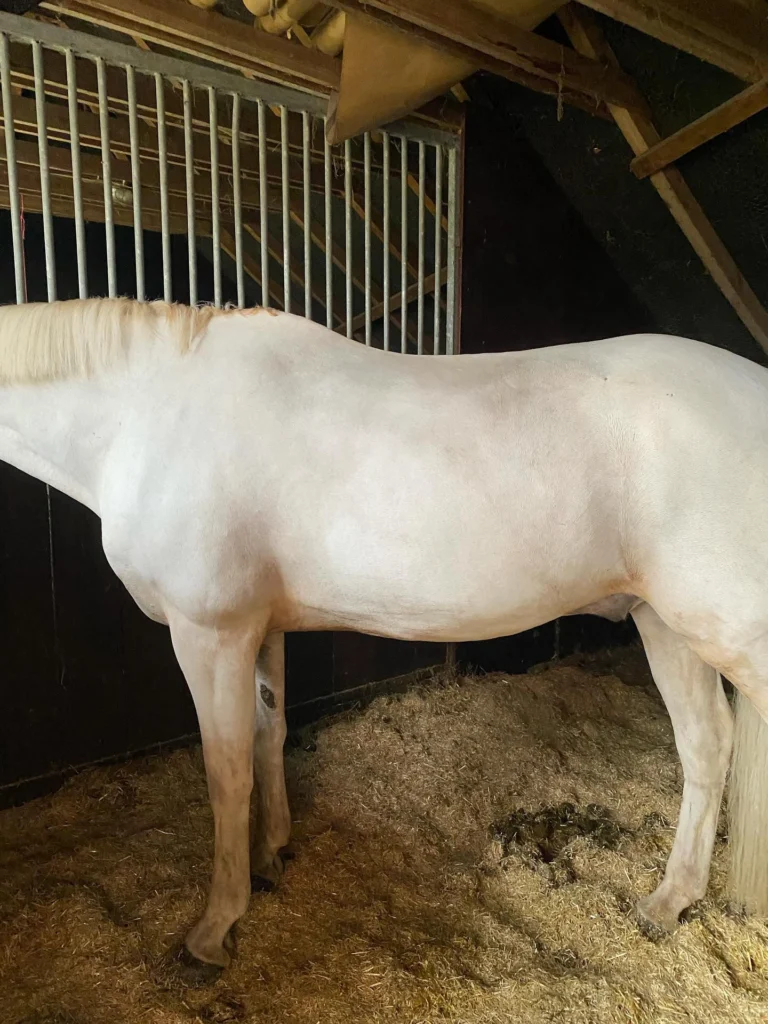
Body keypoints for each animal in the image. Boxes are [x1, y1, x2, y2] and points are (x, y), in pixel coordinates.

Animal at [0, 296, 766, 975]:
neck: (149, 413)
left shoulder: (210, 634)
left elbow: (226, 771)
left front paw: (214, 930)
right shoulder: (258, 628)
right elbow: (268, 734)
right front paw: (272, 856)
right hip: (665, 623)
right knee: (706, 745)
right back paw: (667, 902)